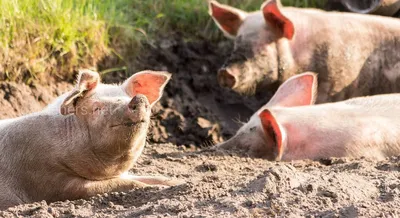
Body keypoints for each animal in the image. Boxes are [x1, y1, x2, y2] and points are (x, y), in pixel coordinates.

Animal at [0, 69, 180, 209]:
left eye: (125, 97)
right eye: (96, 108)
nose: (139, 98)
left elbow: (151, 177)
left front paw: (178, 183)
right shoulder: (48, 180)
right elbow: (124, 184)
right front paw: (154, 188)